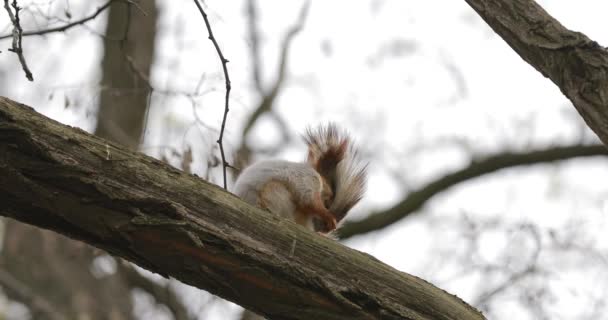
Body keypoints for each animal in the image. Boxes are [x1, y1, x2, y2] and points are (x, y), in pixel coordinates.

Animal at [233, 124, 366, 234]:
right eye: (327, 202)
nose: (324, 229)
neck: (320, 179)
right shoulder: (309, 179)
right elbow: (308, 200)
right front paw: (328, 216)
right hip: (274, 192)